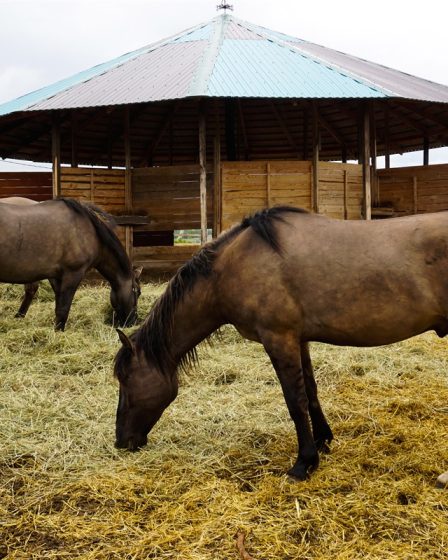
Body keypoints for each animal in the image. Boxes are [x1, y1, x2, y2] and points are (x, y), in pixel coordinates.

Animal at [0, 197, 142, 328]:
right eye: (138, 292)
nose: (133, 321)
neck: (90, 232)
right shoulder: (73, 274)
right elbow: (63, 309)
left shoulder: (56, 277)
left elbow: (58, 308)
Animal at [114, 208, 448, 480]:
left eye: (125, 379)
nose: (121, 441)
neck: (234, 265)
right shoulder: (299, 339)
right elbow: (310, 392)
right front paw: (322, 440)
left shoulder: (279, 338)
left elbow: (294, 400)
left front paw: (304, 463)